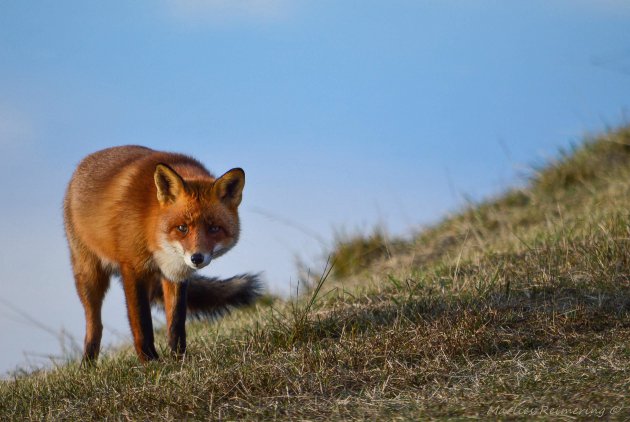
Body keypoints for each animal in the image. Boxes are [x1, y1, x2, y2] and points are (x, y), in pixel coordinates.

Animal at [64, 146, 262, 362]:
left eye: (214, 228)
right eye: (182, 228)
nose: (196, 258)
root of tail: (85, 162)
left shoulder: (176, 274)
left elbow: (176, 322)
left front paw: (179, 359)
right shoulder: (132, 269)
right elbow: (141, 322)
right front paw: (150, 362)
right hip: (89, 275)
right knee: (95, 325)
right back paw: (88, 363)